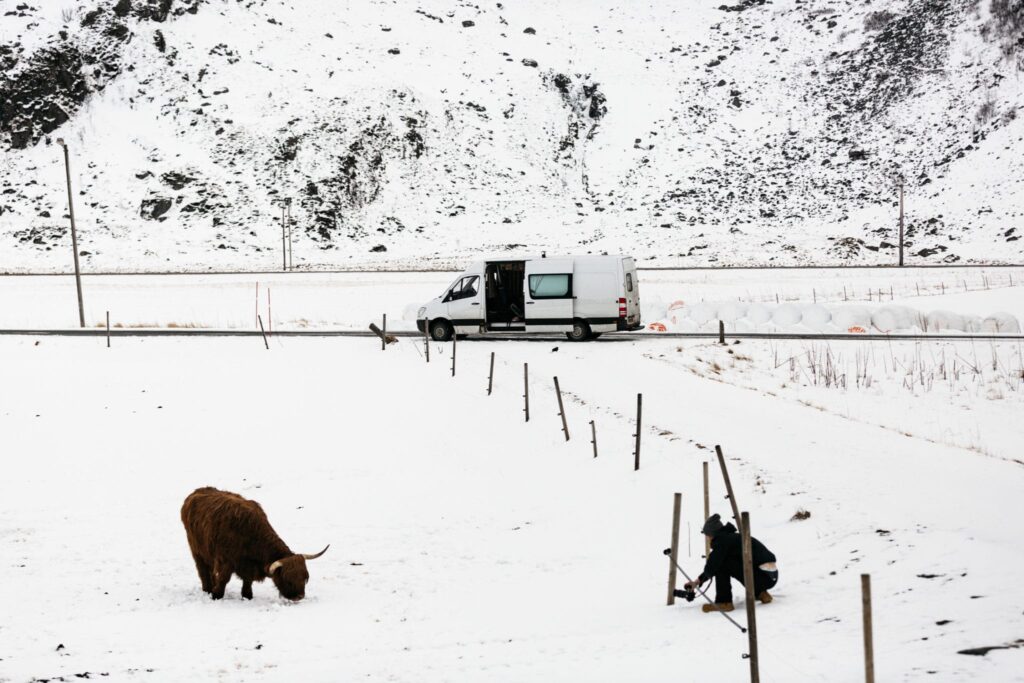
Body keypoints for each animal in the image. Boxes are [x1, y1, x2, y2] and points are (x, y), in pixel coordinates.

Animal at [181, 485, 327, 602]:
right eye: (288, 580)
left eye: (305, 578)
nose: (299, 597)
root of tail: (196, 492)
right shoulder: (225, 561)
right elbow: (223, 579)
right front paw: (217, 595)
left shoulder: (248, 566)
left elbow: (248, 581)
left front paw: (247, 596)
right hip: (197, 550)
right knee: (202, 570)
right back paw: (207, 589)